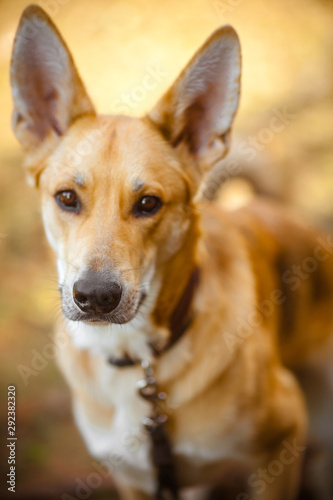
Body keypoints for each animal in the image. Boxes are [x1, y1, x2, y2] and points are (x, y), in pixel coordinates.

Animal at [9, 4, 332, 500]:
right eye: (66, 198)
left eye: (148, 204)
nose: (96, 298)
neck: (139, 365)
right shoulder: (137, 480)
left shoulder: (281, 443)